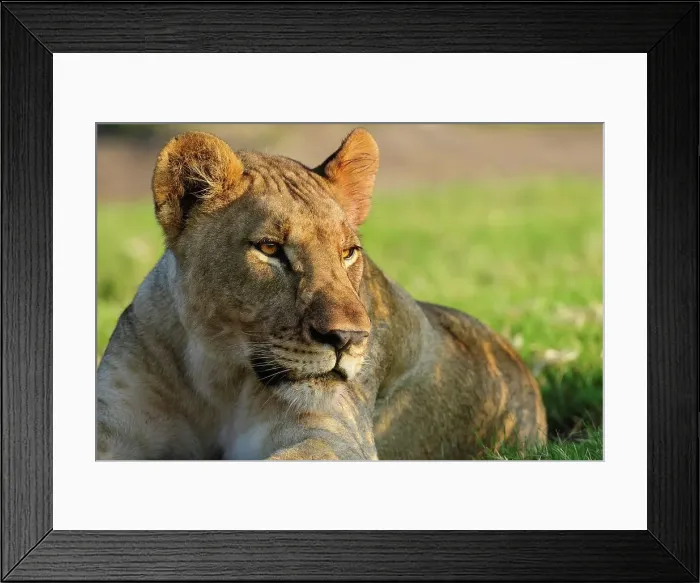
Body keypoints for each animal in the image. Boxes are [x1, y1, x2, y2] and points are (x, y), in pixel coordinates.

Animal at [97, 128, 547, 460]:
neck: (217, 378)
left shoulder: (335, 436)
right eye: (270, 248)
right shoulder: (114, 424)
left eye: (348, 252)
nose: (347, 339)